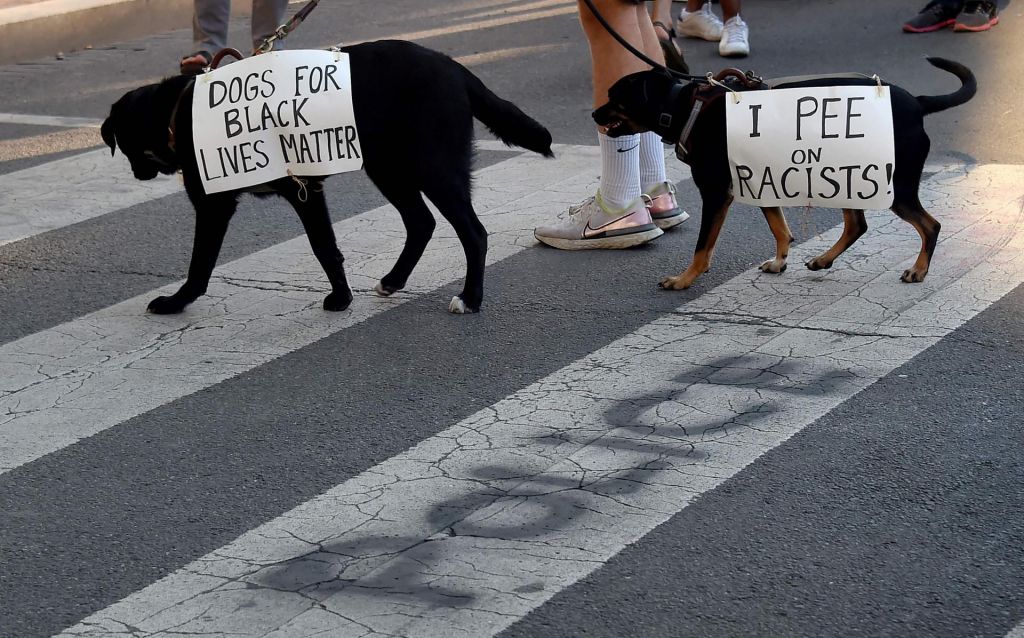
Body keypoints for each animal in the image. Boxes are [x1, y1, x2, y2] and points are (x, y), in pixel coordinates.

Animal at [99, 39, 557, 315]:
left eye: (124, 143)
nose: (138, 174)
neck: (178, 111)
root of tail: (453, 67)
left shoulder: (235, 202)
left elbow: (203, 264)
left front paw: (176, 303)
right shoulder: (302, 191)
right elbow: (327, 248)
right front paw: (344, 296)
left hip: (434, 168)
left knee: (473, 233)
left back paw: (470, 298)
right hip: (389, 168)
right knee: (421, 223)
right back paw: (393, 281)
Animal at [593, 57, 974, 292]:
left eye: (615, 97)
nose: (595, 113)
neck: (684, 106)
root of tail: (918, 103)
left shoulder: (715, 193)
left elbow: (703, 246)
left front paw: (684, 279)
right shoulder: (758, 179)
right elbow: (780, 228)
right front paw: (780, 261)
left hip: (895, 186)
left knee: (930, 225)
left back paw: (919, 270)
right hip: (846, 177)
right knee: (857, 225)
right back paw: (824, 259)